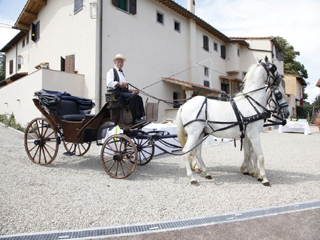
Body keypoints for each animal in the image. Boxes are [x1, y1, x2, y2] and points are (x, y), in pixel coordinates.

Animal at [176, 56, 286, 186]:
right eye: (279, 95)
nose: (280, 79)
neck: (251, 102)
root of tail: (184, 105)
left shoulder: (249, 135)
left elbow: (251, 154)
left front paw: (255, 173)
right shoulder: (254, 134)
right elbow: (260, 155)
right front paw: (264, 178)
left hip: (201, 133)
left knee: (197, 152)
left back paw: (206, 173)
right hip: (194, 133)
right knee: (186, 152)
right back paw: (192, 178)